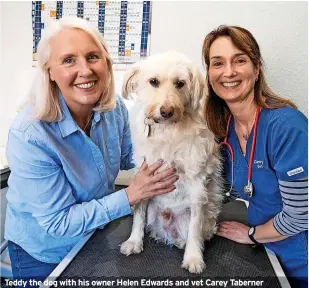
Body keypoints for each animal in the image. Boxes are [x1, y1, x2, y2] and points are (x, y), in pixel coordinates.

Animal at [119, 50, 223, 274]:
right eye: (153, 81)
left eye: (180, 83)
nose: (166, 111)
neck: (166, 131)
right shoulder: (145, 175)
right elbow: (138, 215)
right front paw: (134, 242)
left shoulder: (196, 182)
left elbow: (194, 228)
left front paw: (193, 257)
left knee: (196, 230)